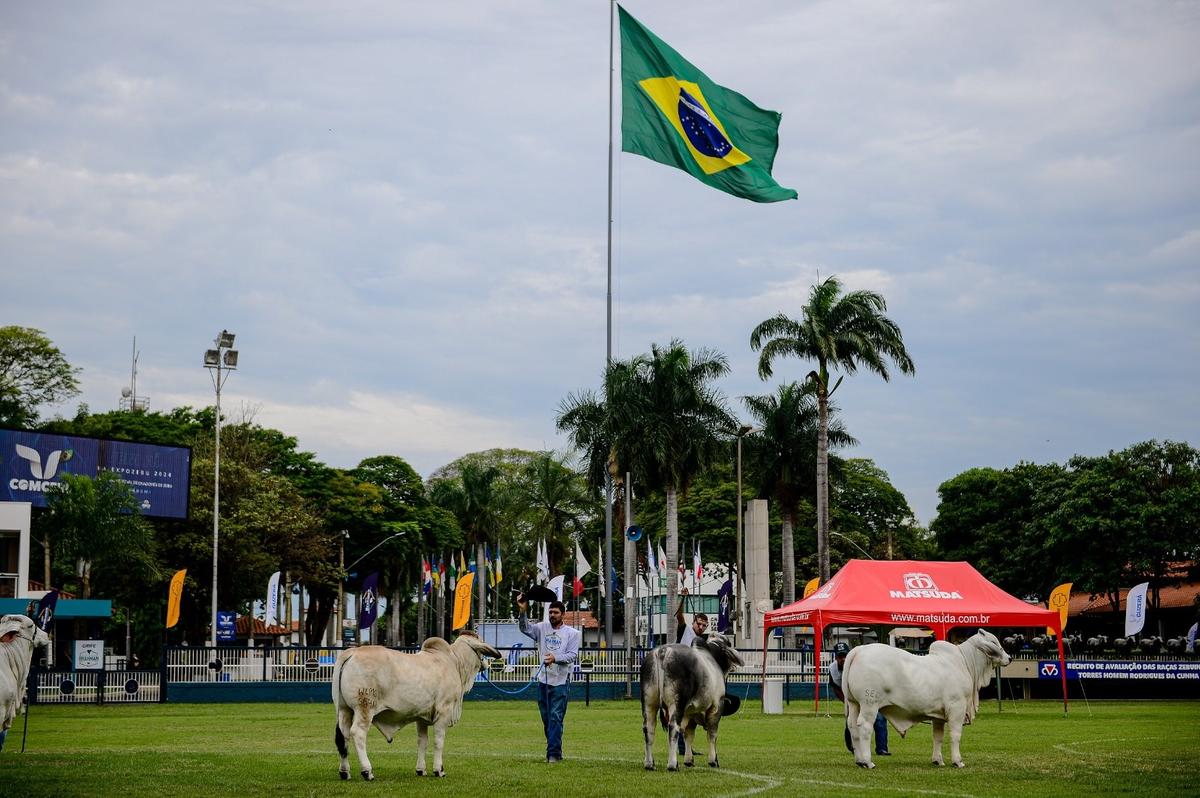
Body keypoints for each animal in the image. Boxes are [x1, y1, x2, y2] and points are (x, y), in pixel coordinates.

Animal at [331, 628, 499, 777]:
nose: (487, 664)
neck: (455, 661)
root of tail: (351, 653)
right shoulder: (444, 712)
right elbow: (439, 741)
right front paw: (439, 770)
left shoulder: (422, 717)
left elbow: (422, 742)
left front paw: (421, 770)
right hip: (364, 708)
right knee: (357, 733)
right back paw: (367, 771)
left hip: (343, 709)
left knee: (343, 737)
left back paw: (344, 771)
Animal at [844, 628, 1012, 768]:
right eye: (994, 642)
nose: (1009, 658)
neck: (964, 663)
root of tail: (858, 650)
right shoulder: (957, 708)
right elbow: (955, 735)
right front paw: (958, 761)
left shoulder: (938, 715)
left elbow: (938, 737)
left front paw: (938, 760)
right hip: (869, 704)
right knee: (865, 727)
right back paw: (868, 762)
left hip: (854, 703)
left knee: (852, 726)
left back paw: (859, 760)